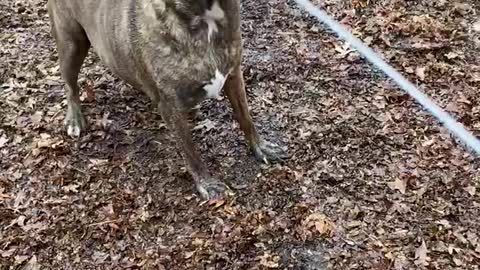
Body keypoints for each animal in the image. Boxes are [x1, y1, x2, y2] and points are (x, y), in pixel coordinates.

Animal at [48, 0, 286, 198]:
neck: (202, 16)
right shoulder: (170, 106)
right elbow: (190, 151)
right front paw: (206, 183)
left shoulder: (234, 74)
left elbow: (246, 118)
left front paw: (261, 147)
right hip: (71, 43)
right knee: (70, 85)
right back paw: (74, 119)